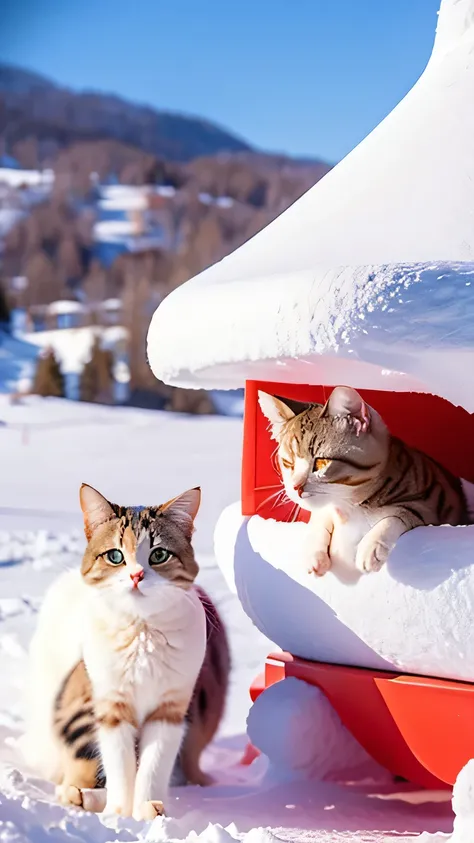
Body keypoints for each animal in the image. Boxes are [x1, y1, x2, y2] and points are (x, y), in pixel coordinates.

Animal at [21, 484, 230, 820]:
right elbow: (119, 766)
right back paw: (80, 797)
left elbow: (153, 766)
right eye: (115, 556)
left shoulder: (170, 708)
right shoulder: (110, 706)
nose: (136, 576)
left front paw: (147, 810)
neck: (141, 632)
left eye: (159, 554)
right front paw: (119, 814)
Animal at [258, 386, 468, 576]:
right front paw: (313, 552)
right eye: (288, 462)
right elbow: (321, 516)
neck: (350, 504)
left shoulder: (434, 503)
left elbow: (400, 513)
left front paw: (372, 546)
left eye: (321, 462)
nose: (296, 487)